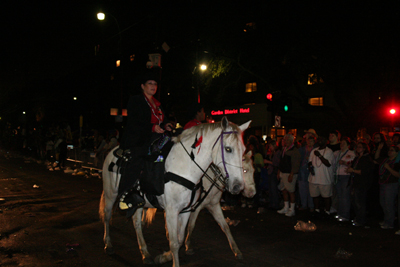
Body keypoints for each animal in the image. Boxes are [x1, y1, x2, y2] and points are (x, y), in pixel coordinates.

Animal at [99, 118, 250, 266]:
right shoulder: (171, 210)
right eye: (228, 149)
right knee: (107, 216)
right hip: (110, 194)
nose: (238, 186)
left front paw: (164, 257)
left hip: (139, 203)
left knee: (136, 223)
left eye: (243, 150)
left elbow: (180, 238)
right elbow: (173, 243)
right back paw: (108, 245)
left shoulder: (186, 210)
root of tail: (112, 151)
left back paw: (145, 254)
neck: (184, 167)